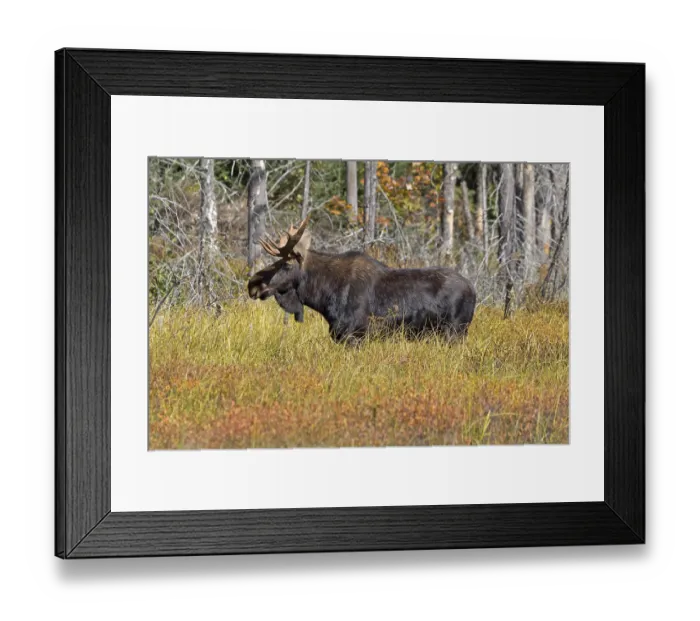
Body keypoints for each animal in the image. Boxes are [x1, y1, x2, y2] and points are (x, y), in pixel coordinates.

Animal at [248, 217, 476, 344]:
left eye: (286, 264)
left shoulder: (353, 336)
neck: (323, 296)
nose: (253, 284)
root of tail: (474, 291)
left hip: (455, 332)